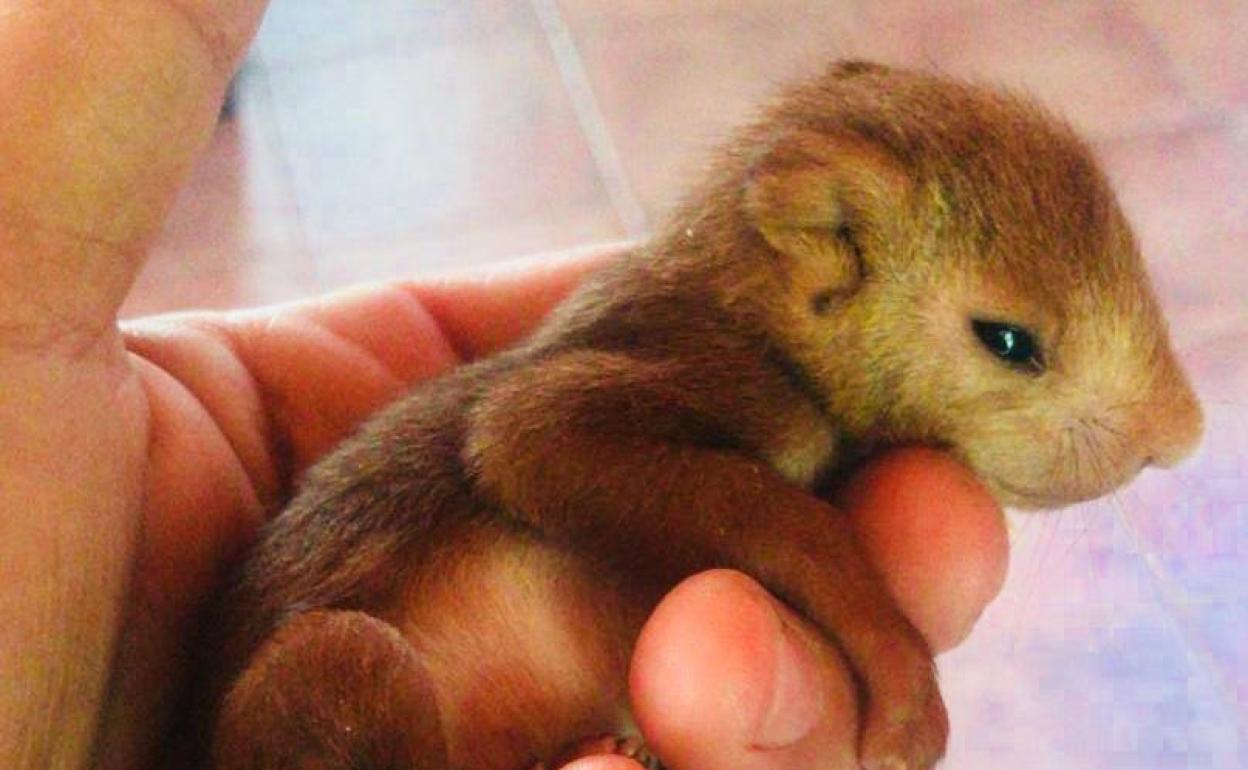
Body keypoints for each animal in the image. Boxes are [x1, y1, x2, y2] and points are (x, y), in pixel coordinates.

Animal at [199, 61, 1203, 768]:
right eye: (1007, 340)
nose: (1184, 436)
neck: (752, 311)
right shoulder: (672, 386)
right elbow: (782, 518)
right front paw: (904, 684)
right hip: (336, 665)